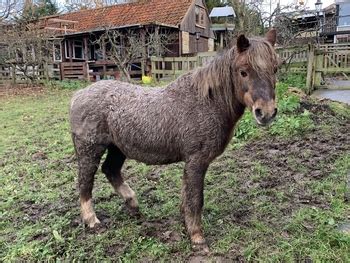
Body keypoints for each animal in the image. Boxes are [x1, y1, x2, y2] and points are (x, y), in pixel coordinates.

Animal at [69, 29, 278, 254]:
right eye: (243, 72)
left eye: (275, 69)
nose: (266, 113)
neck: (206, 102)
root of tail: (78, 95)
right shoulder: (197, 161)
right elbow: (196, 199)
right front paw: (197, 237)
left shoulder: (191, 162)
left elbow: (187, 195)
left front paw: (185, 223)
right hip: (90, 150)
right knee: (85, 182)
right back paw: (92, 220)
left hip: (117, 148)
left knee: (110, 170)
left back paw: (133, 205)